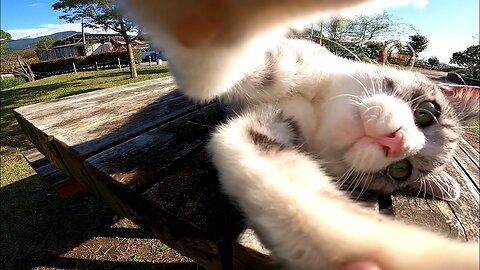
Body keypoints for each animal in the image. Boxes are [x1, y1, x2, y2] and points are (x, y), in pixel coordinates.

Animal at [121, 0, 480, 270]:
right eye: (427, 112)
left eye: (400, 170)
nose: (396, 142)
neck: (317, 102)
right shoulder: (292, 57)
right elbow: (261, 63)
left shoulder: (264, 128)